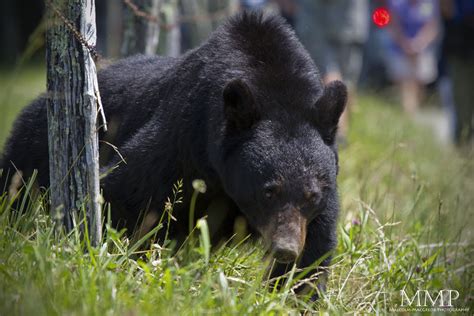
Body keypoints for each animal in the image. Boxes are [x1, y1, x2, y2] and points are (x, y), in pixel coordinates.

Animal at [0, 12, 348, 288]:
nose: (285, 248)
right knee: (17, 195)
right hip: (31, 155)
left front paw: (294, 289)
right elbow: (124, 195)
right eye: (268, 190)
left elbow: (315, 249)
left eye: (311, 195)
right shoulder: (183, 141)